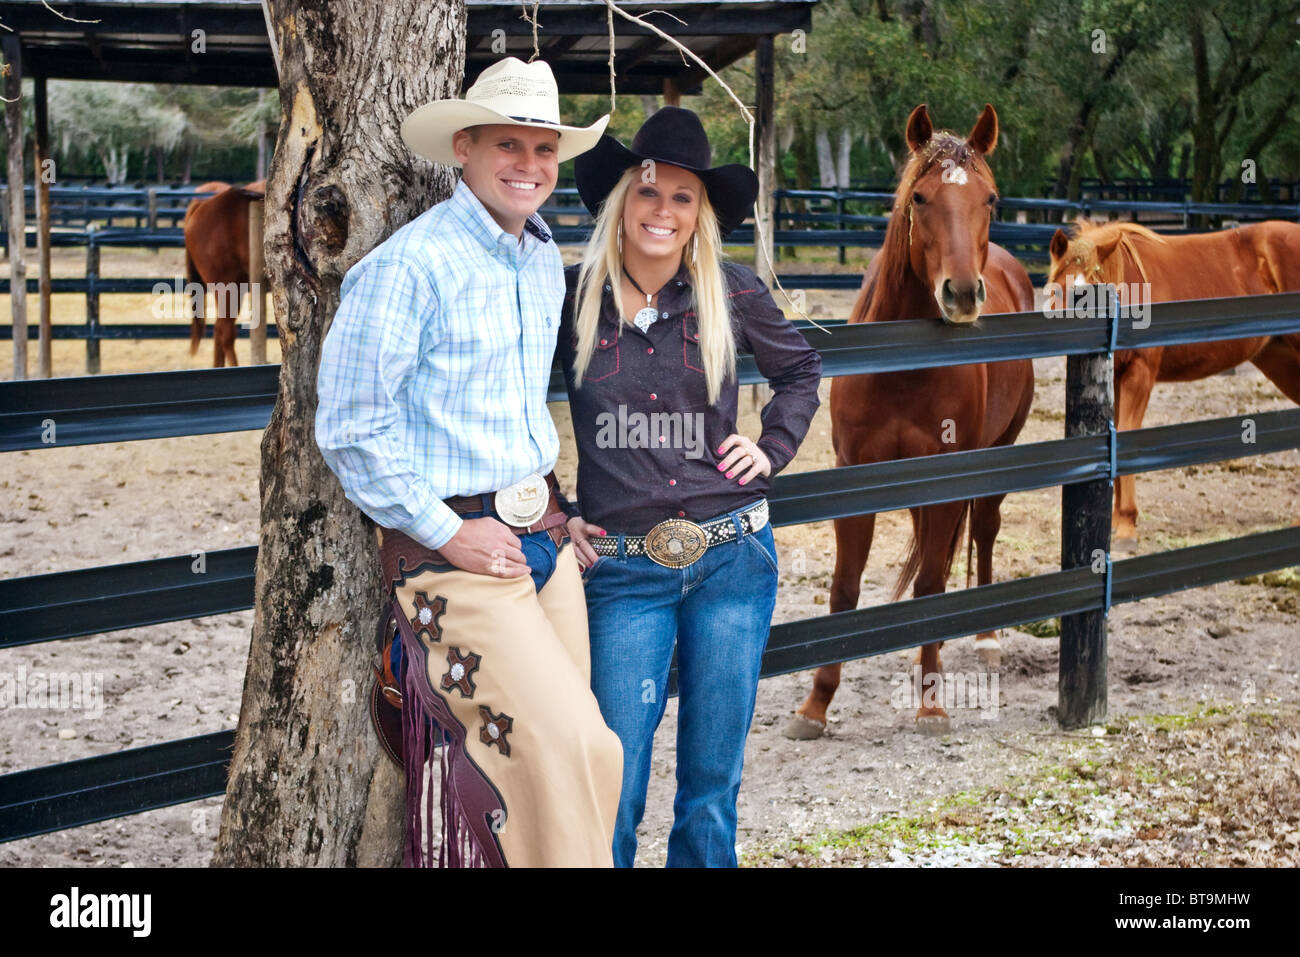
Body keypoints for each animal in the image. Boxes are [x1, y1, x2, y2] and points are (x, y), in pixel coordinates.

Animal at [785, 104, 1029, 738]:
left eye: (990, 199)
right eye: (920, 197)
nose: (963, 293)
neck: (899, 365)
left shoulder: (944, 476)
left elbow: (932, 582)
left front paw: (931, 702)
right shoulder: (854, 476)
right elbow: (844, 589)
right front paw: (815, 705)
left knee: (984, 530)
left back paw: (985, 638)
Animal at [1050, 219, 1300, 540]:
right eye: (1060, 292)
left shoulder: (1141, 373)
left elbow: (1128, 433)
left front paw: (1127, 523)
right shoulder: (1117, 378)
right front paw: (1118, 518)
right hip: (1280, 361)